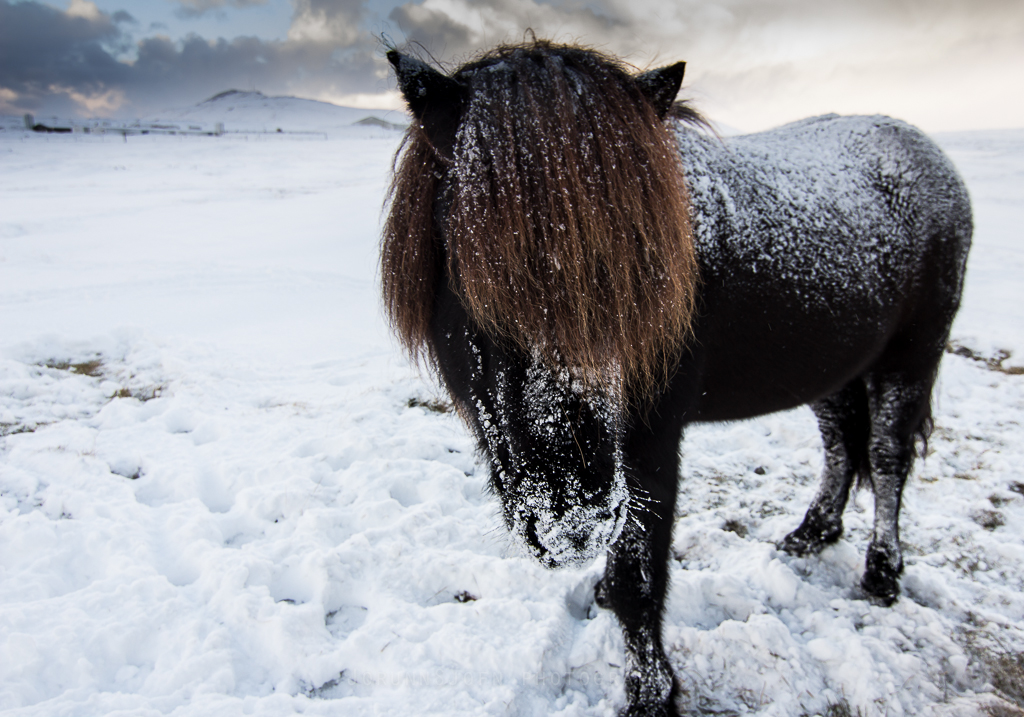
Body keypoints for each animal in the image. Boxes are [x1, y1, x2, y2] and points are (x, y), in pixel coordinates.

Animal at [381, 40, 972, 717]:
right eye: (470, 270)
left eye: (642, 275)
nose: (571, 520)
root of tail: (927, 153)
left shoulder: (651, 441)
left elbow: (637, 574)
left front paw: (650, 693)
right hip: (836, 366)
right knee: (842, 445)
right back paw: (811, 534)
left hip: (912, 355)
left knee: (888, 456)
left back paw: (881, 573)